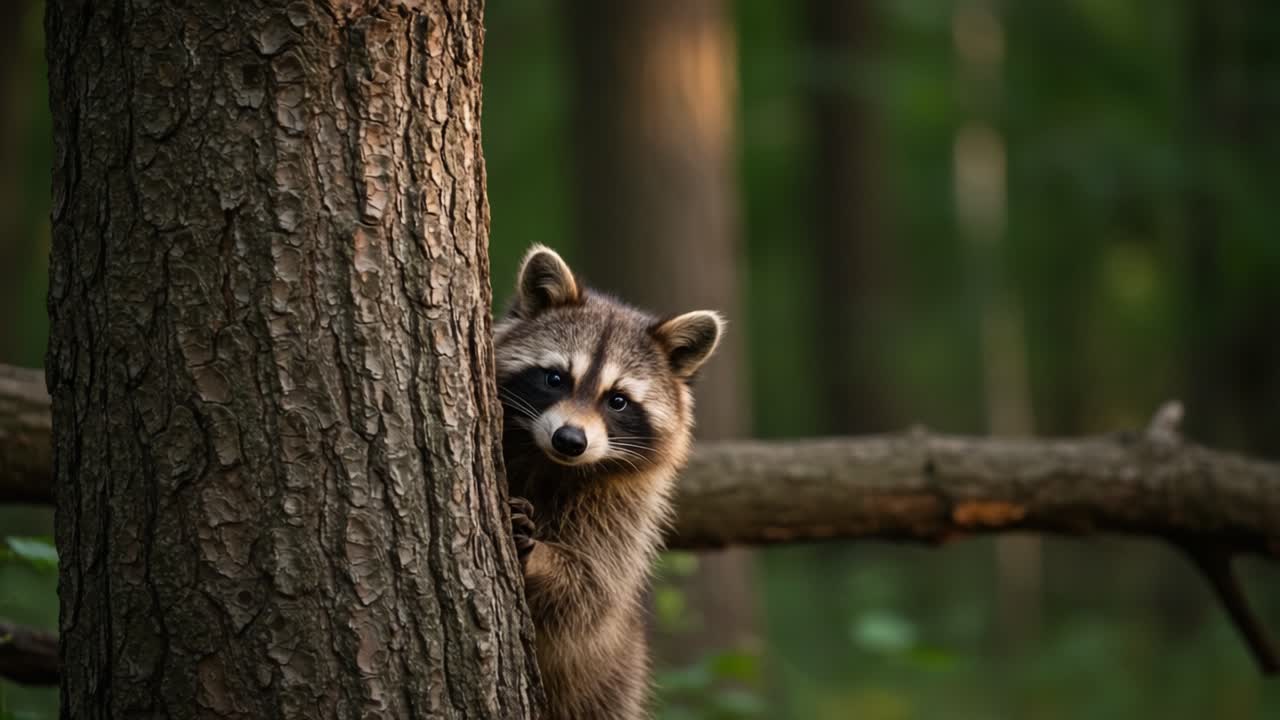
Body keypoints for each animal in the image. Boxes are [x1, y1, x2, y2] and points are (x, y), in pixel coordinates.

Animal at [495, 245, 723, 720]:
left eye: (617, 401)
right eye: (555, 378)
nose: (570, 440)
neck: (550, 463)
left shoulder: (624, 512)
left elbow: (592, 591)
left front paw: (539, 555)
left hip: (611, 682)